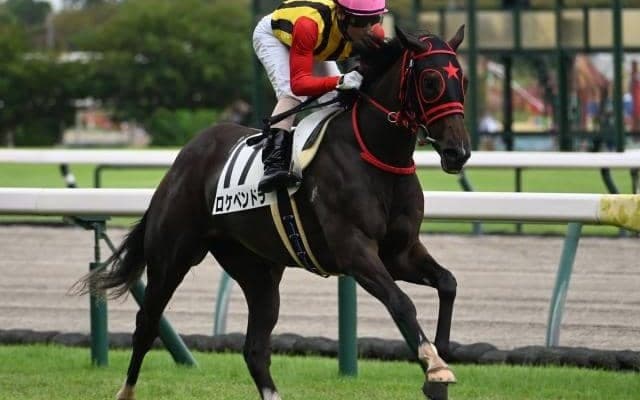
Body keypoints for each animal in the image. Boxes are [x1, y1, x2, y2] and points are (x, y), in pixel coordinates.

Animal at [79, 25, 471, 400]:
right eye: (431, 81)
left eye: (463, 81)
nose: (458, 152)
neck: (374, 154)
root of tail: (185, 156)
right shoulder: (355, 250)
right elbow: (401, 302)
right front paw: (436, 368)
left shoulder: (399, 252)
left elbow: (448, 283)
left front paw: (438, 364)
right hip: (172, 256)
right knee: (146, 324)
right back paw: (125, 391)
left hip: (257, 269)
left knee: (254, 348)